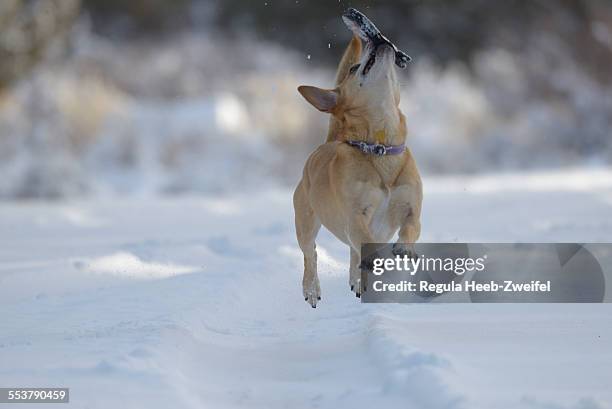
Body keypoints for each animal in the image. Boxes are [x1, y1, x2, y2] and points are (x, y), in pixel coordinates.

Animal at [294, 7, 424, 306]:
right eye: (354, 68)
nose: (379, 41)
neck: (379, 146)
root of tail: (330, 140)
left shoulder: (412, 206)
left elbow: (412, 225)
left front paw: (403, 248)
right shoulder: (355, 216)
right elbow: (363, 235)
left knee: (353, 255)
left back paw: (357, 280)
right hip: (305, 219)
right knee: (310, 254)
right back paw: (311, 289)